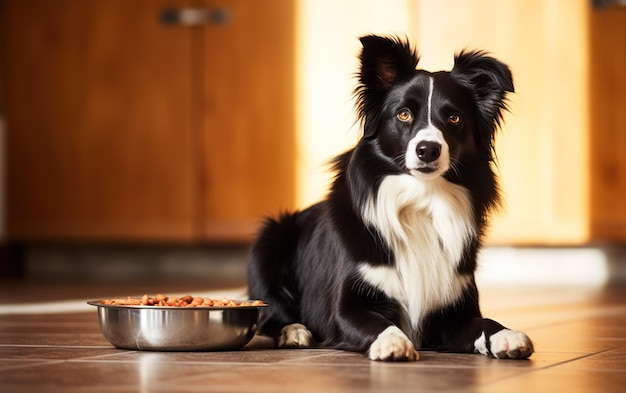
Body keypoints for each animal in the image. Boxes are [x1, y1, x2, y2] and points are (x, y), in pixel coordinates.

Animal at [247, 35, 532, 360]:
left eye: (454, 118)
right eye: (403, 114)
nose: (428, 150)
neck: (422, 199)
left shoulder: (457, 308)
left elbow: (485, 322)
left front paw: (507, 335)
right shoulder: (345, 308)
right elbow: (375, 322)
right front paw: (392, 341)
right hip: (268, 242)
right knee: (272, 314)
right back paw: (294, 332)